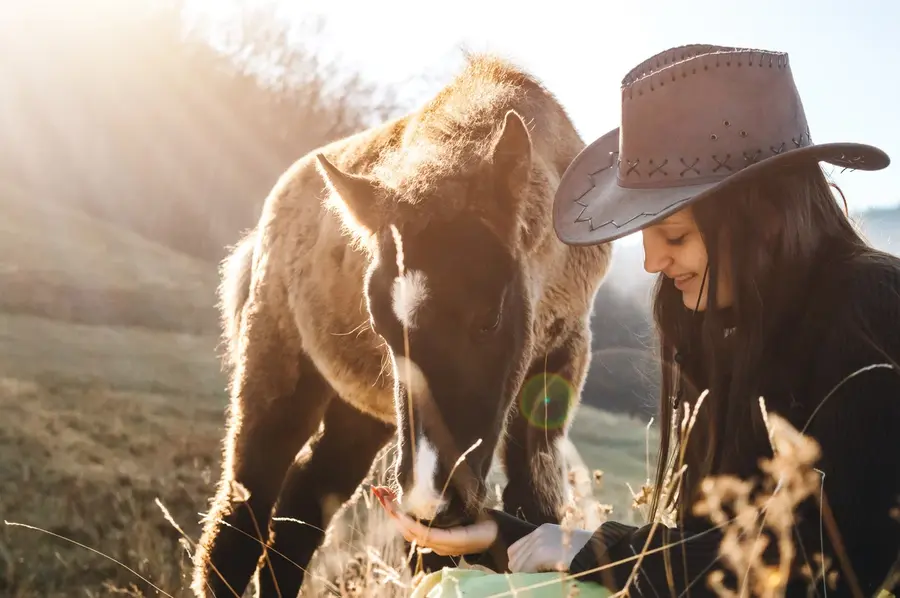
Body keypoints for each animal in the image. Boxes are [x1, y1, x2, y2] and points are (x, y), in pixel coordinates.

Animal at [190, 52, 612, 598]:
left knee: (303, 504)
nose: (431, 501)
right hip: (278, 369)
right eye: (382, 326)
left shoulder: (563, 354)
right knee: (241, 517)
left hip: (359, 411)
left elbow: (533, 501)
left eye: (490, 318)